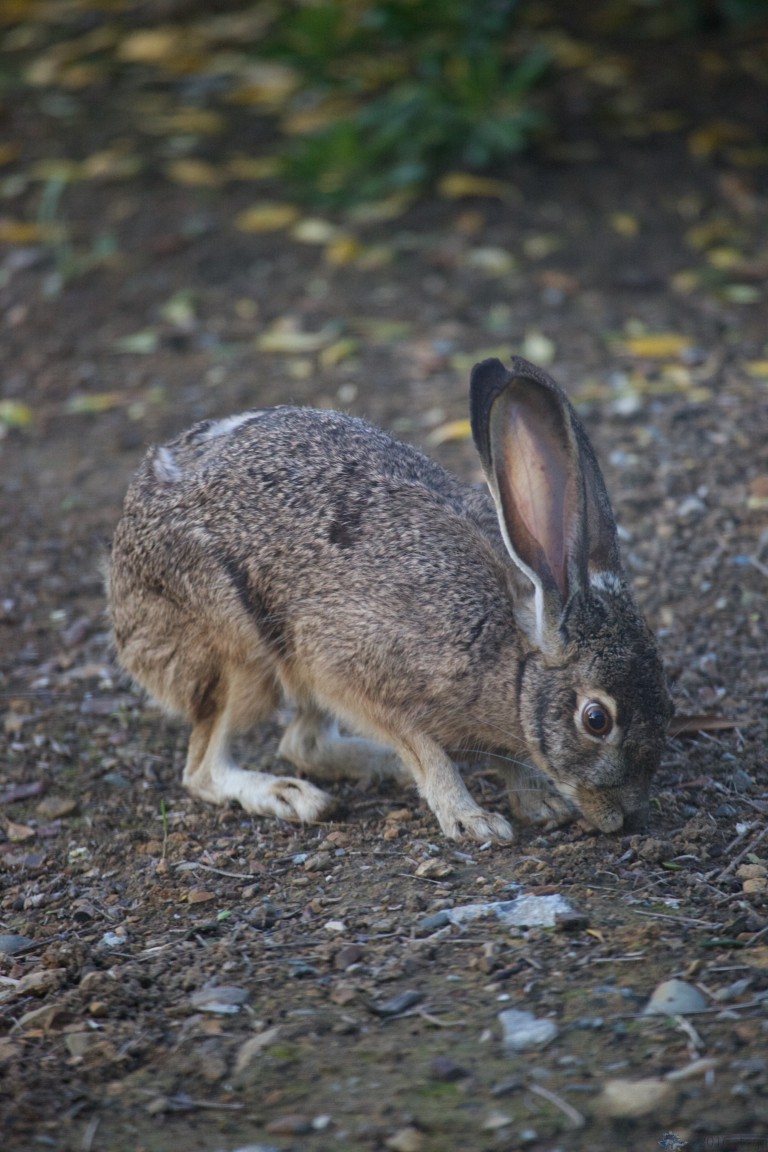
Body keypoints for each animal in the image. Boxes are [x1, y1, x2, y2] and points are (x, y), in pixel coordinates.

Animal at [107, 356, 673, 842]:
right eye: (596, 719)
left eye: (666, 699)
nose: (627, 818)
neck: (508, 650)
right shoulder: (352, 674)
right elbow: (423, 748)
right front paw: (471, 819)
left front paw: (536, 800)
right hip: (243, 657)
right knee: (205, 768)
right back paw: (290, 796)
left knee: (303, 743)